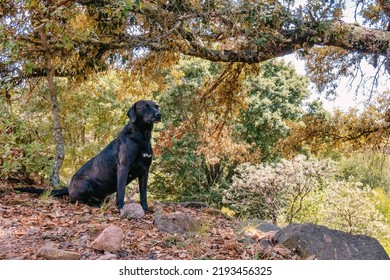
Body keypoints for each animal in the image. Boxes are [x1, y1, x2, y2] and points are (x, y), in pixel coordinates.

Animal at [16, 99, 161, 211]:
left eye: (156, 106)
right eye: (145, 107)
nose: (159, 114)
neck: (142, 136)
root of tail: (69, 187)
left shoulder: (144, 171)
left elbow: (143, 194)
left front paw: (145, 209)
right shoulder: (123, 167)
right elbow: (121, 192)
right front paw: (121, 208)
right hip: (87, 182)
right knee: (76, 200)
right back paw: (94, 204)